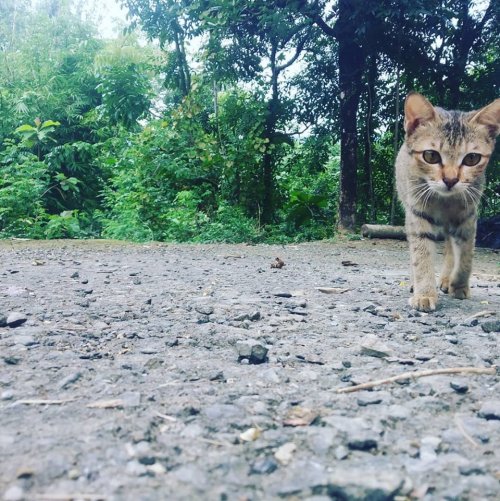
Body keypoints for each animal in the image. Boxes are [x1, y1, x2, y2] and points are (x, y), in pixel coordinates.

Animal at [396, 89, 498, 308]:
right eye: (431, 156)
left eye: (472, 158)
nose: (450, 180)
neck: (445, 201)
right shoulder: (418, 214)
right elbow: (421, 254)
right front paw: (425, 293)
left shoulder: (468, 217)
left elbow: (466, 255)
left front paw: (459, 285)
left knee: (451, 245)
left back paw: (446, 279)